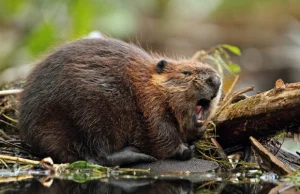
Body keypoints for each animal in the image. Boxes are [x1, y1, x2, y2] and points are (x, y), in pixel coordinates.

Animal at [18, 37, 220, 166]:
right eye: (186, 72)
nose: (216, 80)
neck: (148, 83)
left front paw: (197, 134)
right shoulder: (150, 104)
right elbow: (160, 133)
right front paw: (185, 149)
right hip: (93, 113)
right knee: (96, 156)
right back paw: (138, 154)